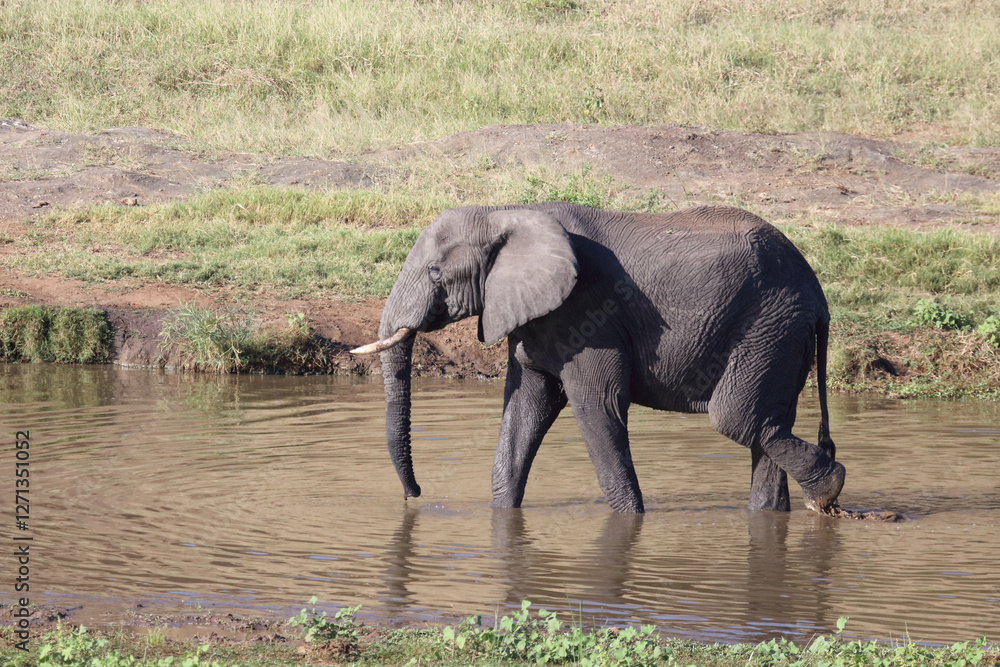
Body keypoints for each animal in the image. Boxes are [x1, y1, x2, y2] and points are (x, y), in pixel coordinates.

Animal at [351, 203, 845, 514]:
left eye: (436, 272)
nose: (415, 495)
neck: (504, 212)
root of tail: (818, 295)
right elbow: (525, 408)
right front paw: (503, 515)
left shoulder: (587, 312)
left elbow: (596, 406)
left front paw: (631, 520)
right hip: (780, 335)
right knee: (766, 422)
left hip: (769, 325)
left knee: (738, 418)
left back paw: (828, 491)